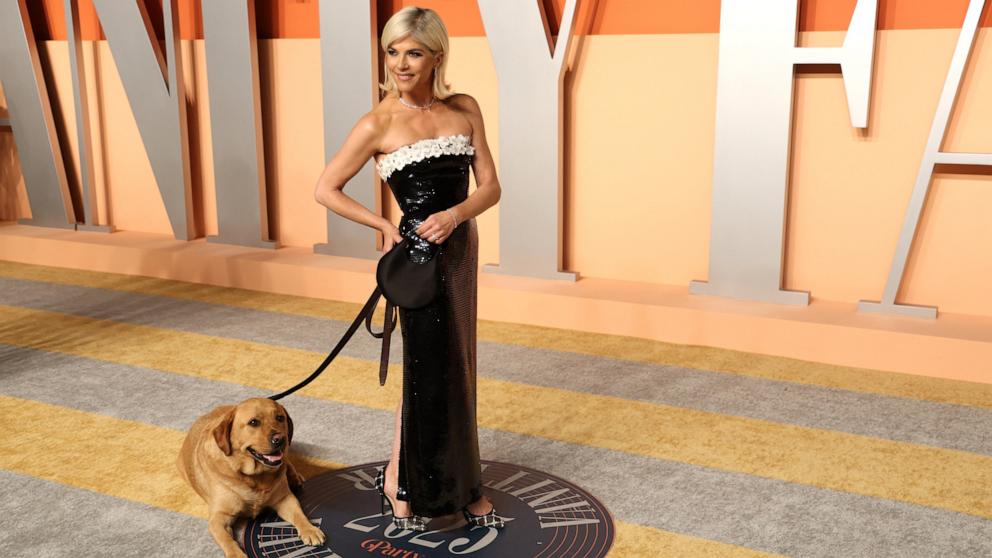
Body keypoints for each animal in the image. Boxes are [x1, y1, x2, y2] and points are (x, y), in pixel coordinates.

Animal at [178, 398, 326, 558]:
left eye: (280, 418)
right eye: (253, 422)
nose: (280, 439)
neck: (254, 476)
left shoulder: (285, 499)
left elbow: (299, 514)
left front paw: (310, 529)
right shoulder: (219, 518)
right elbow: (227, 540)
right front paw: (237, 554)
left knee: (287, 461)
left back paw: (294, 477)